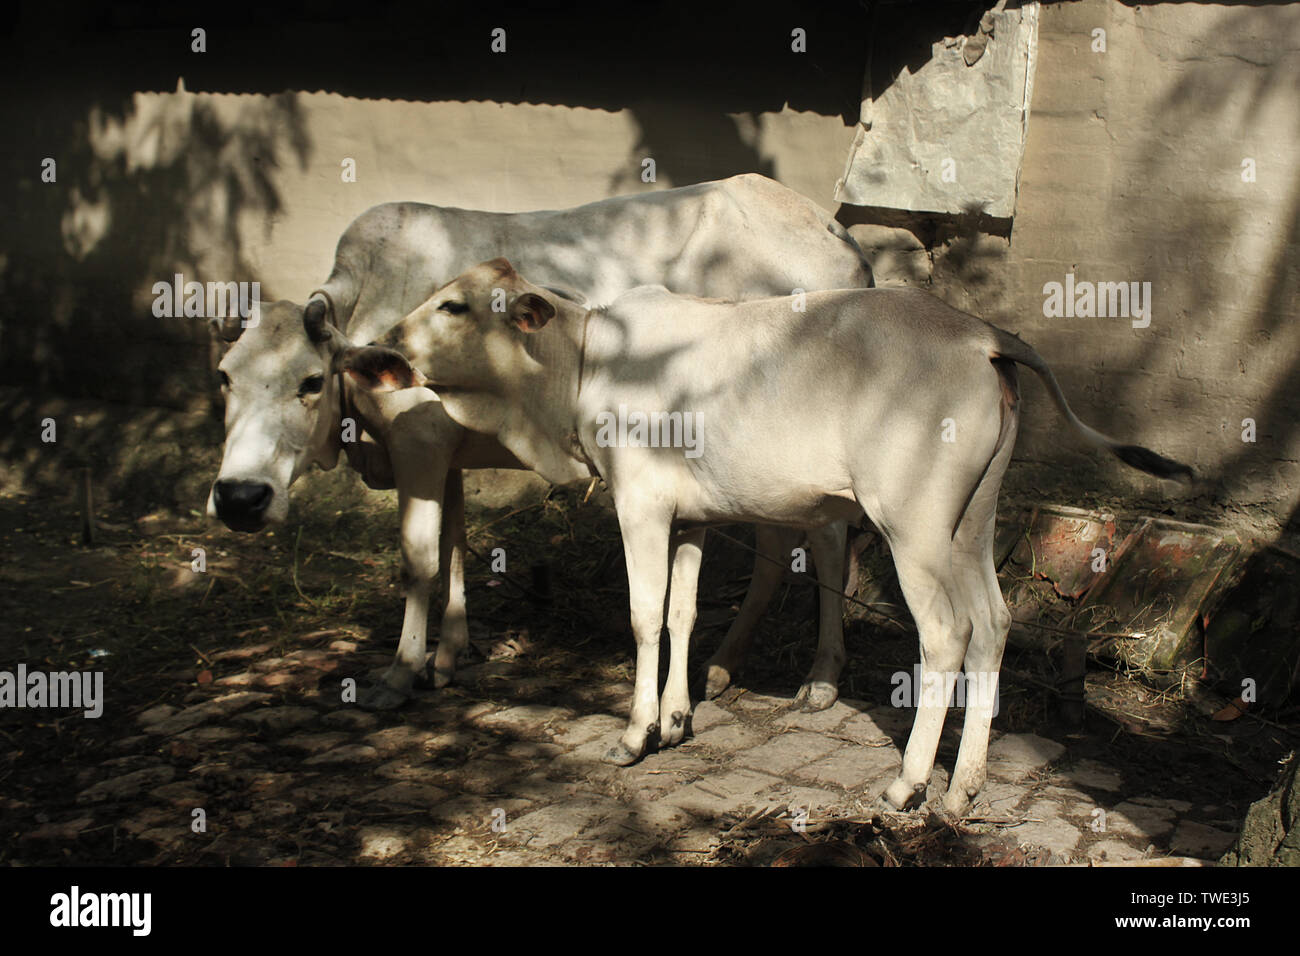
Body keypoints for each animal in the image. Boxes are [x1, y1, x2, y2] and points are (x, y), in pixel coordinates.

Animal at [208, 174, 873, 710]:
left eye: (310, 381)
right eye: (224, 377)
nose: (239, 498)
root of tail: (835, 231)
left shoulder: (417, 445)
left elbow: (418, 562)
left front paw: (398, 675)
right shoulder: (449, 458)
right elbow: (455, 545)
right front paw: (448, 658)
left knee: (827, 542)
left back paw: (820, 677)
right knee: (780, 548)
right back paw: (722, 666)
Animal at [319, 258, 1193, 812]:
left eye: (455, 305)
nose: (379, 349)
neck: (581, 363)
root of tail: (981, 334)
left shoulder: (641, 504)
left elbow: (644, 617)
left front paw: (633, 735)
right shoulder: (692, 517)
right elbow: (681, 615)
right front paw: (675, 721)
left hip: (912, 526)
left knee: (946, 635)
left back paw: (908, 785)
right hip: (970, 526)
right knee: (995, 624)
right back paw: (963, 787)